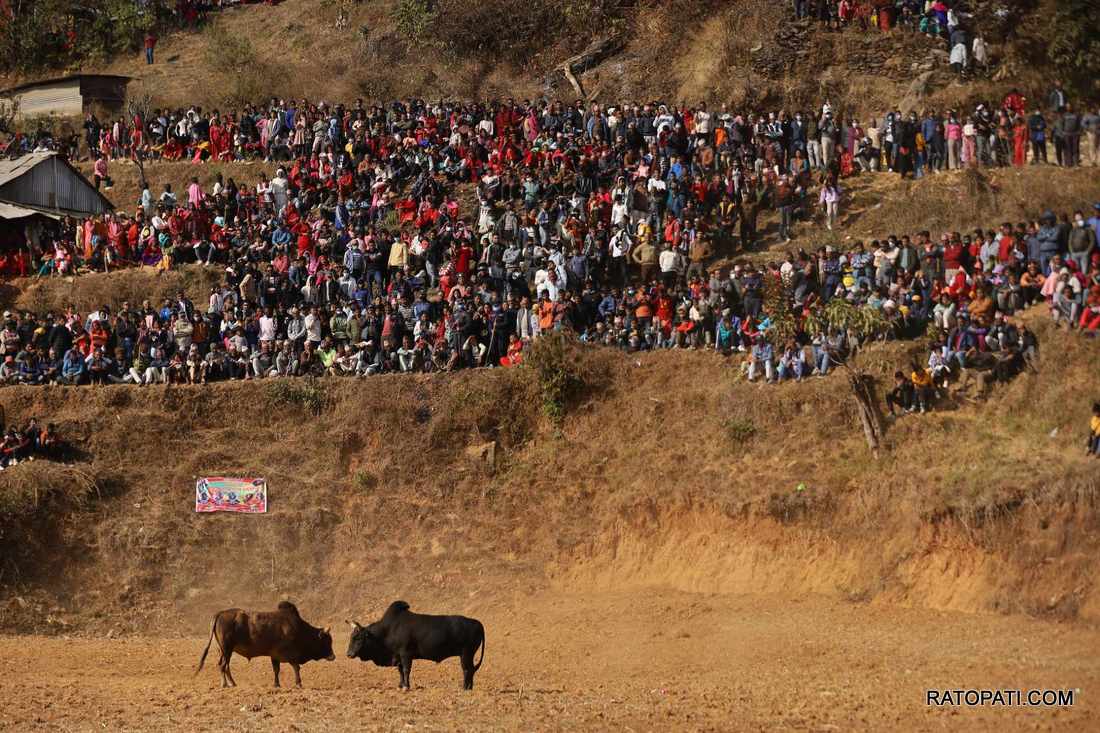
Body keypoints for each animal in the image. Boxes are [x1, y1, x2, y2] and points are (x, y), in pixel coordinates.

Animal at [196, 598, 334, 686]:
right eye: (326, 641)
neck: (299, 629)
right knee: (223, 666)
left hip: (223, 651)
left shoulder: (274, 655)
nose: (333, 656)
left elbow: (276, 670)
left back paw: (232, 683)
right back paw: (225, 684)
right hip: (226, 649)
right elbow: (296, 668)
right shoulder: (291, 655)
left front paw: (277, 684)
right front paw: (298, 683)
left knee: (225, 666)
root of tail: (219, 613)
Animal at [347, 598, 486, 686]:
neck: (387, 630)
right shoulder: (398, 656)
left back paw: (465, 688)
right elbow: (400, 671)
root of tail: (478, 623)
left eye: (358, 637)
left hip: (466, 654)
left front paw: (406, 686)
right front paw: (401, 685)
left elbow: (406, 670)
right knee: (470, 670)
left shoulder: (405, 654)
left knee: (467, 670)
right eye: (351, 637)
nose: (349, 654)